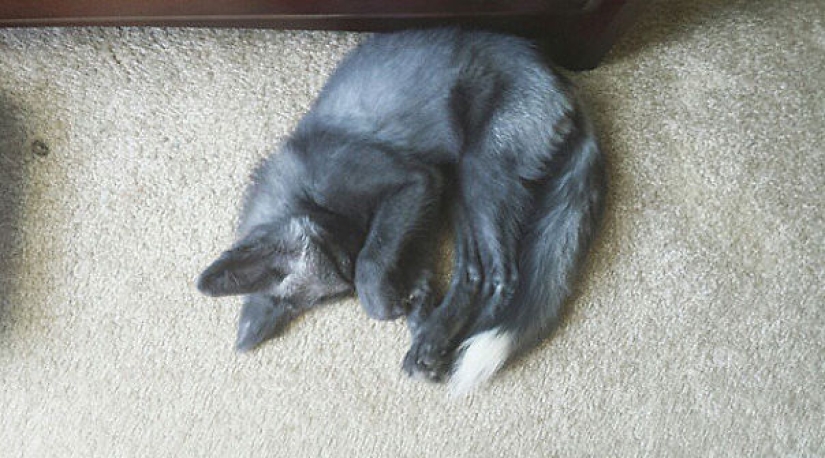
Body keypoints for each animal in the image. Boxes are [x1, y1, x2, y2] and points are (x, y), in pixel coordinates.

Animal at [197, 28, 606, 395]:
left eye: (339, 269)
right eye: (333, 294)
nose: (349, 261)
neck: (307, 185)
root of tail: (564, 85)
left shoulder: (413, 183)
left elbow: (372, 264)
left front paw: (387, 302)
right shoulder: (424, 207)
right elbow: (404, 265)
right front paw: (417, 307)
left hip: (478, 173)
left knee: (503, 276)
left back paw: (454, 344)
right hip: (459, 188)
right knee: (473, 272)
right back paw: (434, 341)